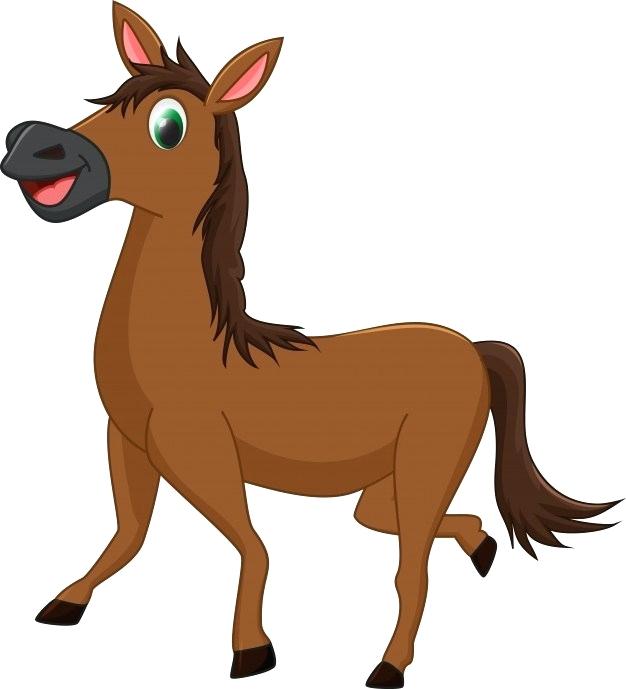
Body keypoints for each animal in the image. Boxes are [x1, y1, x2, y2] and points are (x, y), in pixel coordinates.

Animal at [1, 4, 619, 687]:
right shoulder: (128, 444)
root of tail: (474, 348)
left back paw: (388, 666)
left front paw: (252, 650)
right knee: (405, 527)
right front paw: (64, 604)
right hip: (390, 483)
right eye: (108, 99)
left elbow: (254, 546)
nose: (28, 143)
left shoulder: (199, 452)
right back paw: (480, 546)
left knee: (410, 570)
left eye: (169, 126)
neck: (187, 349)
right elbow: (127, 536)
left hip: (426, 464)